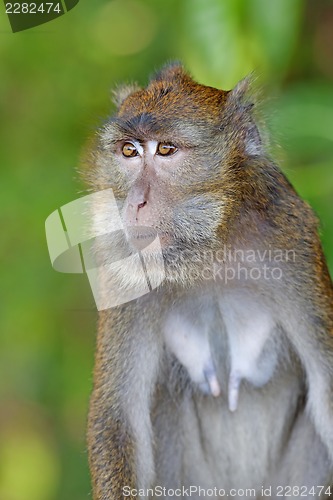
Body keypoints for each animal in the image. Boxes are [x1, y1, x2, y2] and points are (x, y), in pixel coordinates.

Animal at [83, 63, 332, 500]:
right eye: (129, 151)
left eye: (166, 150)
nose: (135, 202)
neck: (208, 249)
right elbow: (119, 416)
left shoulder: (292, 241)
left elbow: (328, 388)